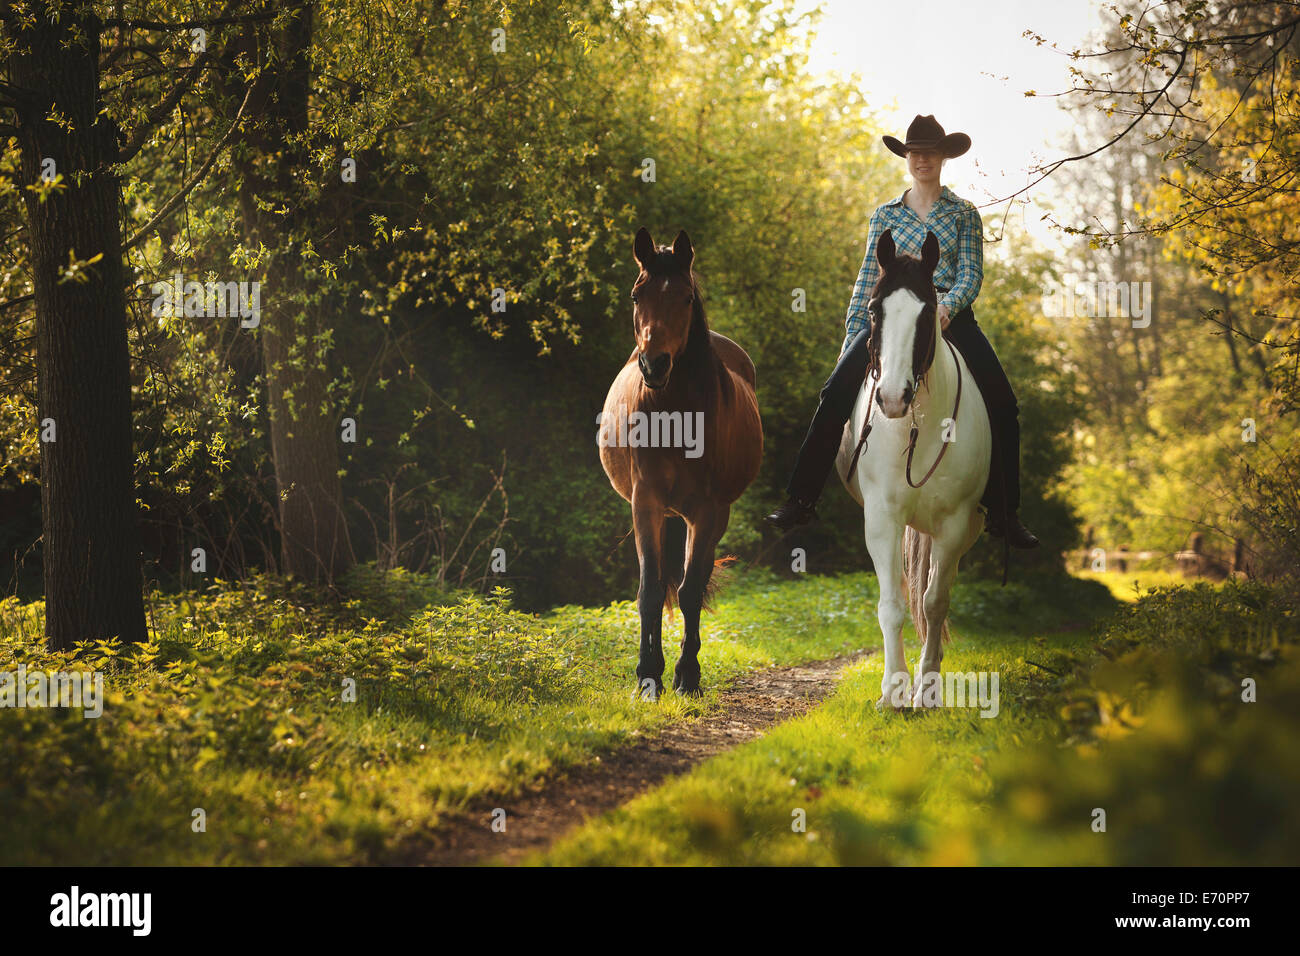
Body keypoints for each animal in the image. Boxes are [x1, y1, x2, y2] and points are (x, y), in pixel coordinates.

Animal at [598, 227, 759, 697]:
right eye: (637, 295)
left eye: (686, 297)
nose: (654, 365)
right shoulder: (645, 503)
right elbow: (650, 590)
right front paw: (647, 676)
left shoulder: (707, 512)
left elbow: (689, 591)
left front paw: (687, 676)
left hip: (704, 517)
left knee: (694, 583)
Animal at [837, 230, 987, 712]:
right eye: (873, 310)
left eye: (926, 311)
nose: (891, 398)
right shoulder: (883, 519)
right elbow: (893, 604)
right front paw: (893, 691)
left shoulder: (955, 524)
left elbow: (935, 602)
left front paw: (927, 688)